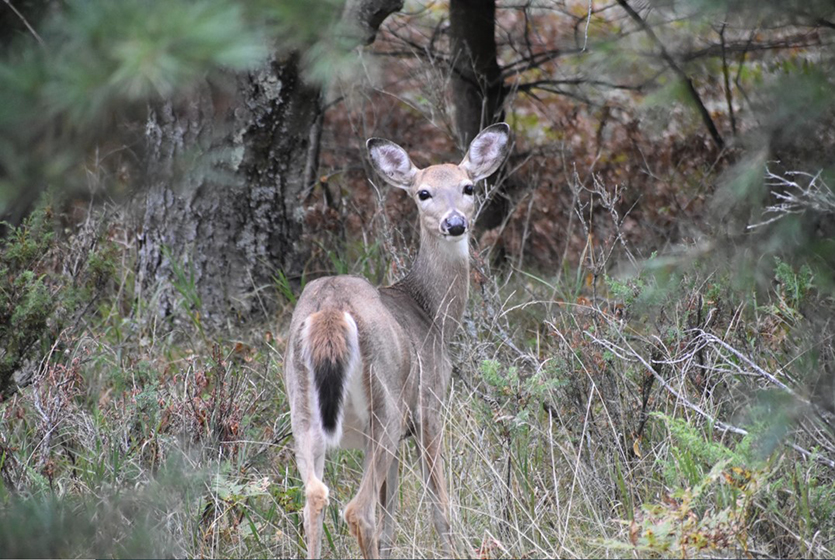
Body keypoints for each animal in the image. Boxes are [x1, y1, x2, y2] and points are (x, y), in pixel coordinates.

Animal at [284, 122, 512, 556]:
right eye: (423, 193)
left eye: (468, 187)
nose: (454, 223)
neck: (432, 315)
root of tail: (331, 309)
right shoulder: (429, 408)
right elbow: (440, 508)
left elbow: (390, 520)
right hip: (385, 405)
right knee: (358, 510)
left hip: (301, 410)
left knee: (315, 497)